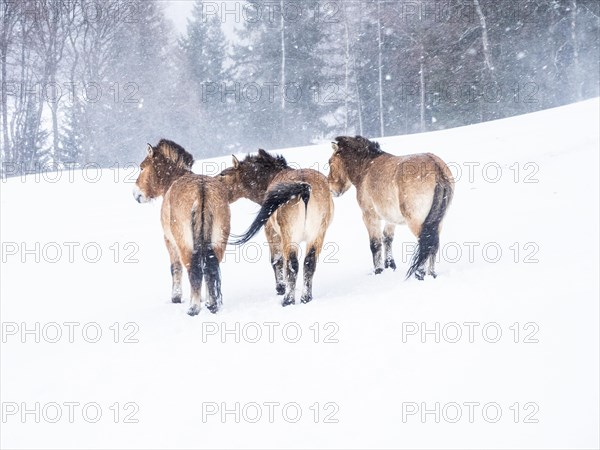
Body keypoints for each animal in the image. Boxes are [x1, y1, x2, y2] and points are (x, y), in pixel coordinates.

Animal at [133, 139, 232, 314]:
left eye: (142, 167)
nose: (136, 193)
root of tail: (201, 191)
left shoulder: (169, 241)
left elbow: (175, 268)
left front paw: (176, 297)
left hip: (185, 244)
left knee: (194, 270)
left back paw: (193, 308)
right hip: (218, 242)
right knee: (211, 268)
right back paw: (211, 304)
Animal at [219, 149, 336, 306]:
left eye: (222, 175)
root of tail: (305, 188)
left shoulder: (272, 233)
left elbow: (277, 260)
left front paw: (281, 288)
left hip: (290, 237)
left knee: (292, 264)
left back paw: (287, 300)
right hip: (316, 235)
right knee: (309, 263)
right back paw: (306, 298)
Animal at [328, 135, 454, 280]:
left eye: (330, 162)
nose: (331, 189)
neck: (366, 167)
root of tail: (436, 167)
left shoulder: (369, 216)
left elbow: (375, 244)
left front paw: (378, 270)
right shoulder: (391, 218)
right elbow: (387, 238)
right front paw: (390, 265)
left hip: (417, 222)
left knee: (426, 243)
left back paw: (419, 274)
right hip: (438, 222)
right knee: (434, 245)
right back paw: (431, 274)